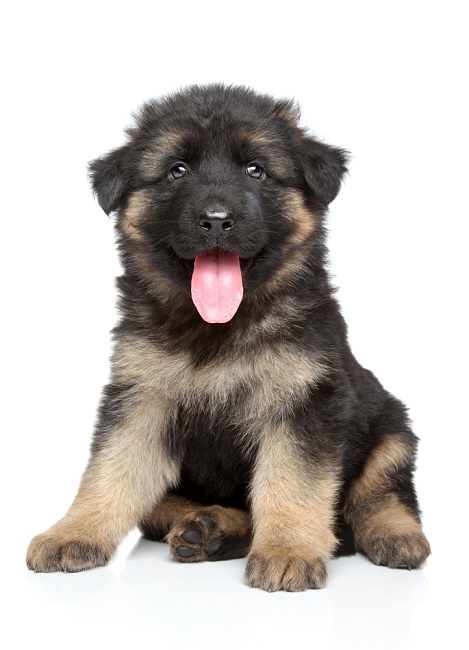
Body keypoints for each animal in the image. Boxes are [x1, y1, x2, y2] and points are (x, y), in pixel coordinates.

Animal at [24, 83, 428, 588]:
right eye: (177, 170)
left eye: (256, 169)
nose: (216, 219)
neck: (218, 326)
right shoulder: (140, 398)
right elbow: (109, 469)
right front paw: (74, 532)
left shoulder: (304, 402)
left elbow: (292, 481)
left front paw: (288, 549)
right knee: (165, 507)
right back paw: (207, 528)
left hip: (392, 427)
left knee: (380, 494)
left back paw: (395, 534)